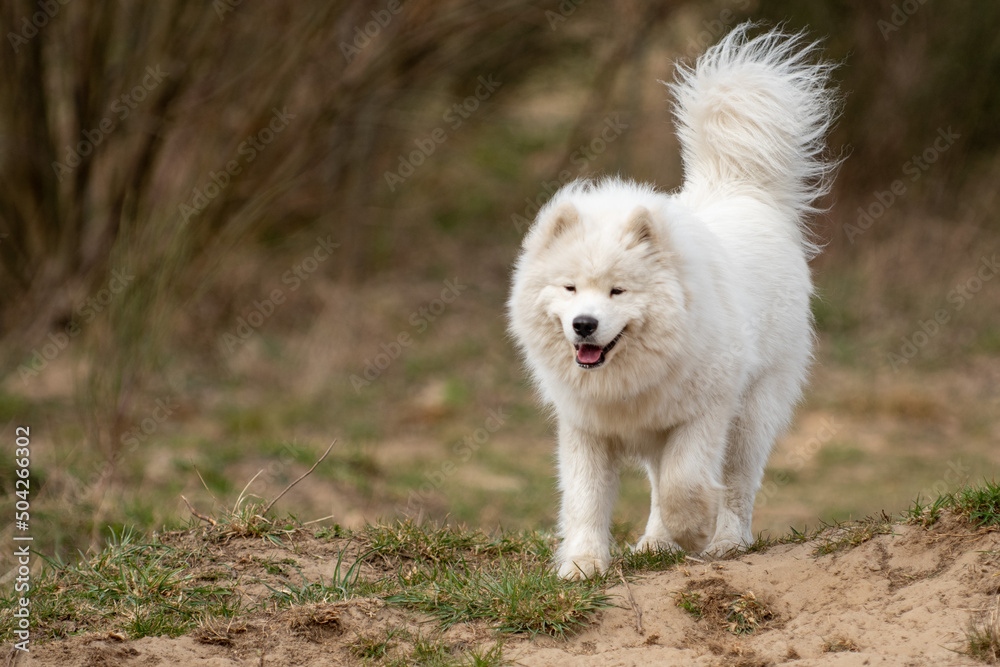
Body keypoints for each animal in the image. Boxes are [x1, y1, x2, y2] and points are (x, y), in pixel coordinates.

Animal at [508, 24, 836, 580]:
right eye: (570, 288)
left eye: (618, 290)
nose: (583, 324)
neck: (630, 377)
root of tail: (741, 189)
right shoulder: (586, 429)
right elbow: (585, 499)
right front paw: (583, 565)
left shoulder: (703, 414)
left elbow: (684, 485)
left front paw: (694, 532)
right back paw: (658, 545)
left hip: (752, 414)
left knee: (738, 484)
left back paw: (724, 542)